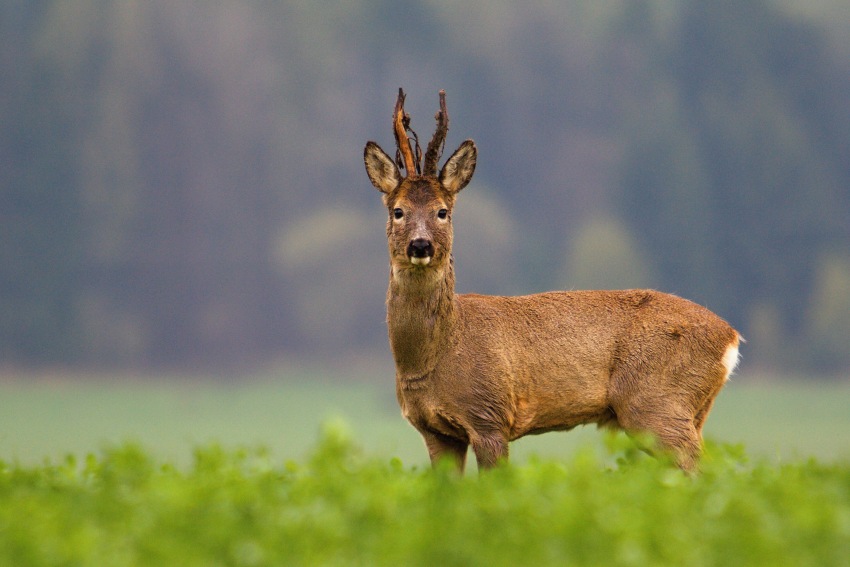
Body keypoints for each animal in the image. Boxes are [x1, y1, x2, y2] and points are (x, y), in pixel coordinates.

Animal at [362, 87, 740, 470]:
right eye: (398, 211)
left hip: (658, 404)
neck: (434, 355)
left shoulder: (489, 417)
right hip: (689, 409)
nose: (420, 244)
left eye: (442, 212)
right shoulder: (435, 432)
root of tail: (731, 337)